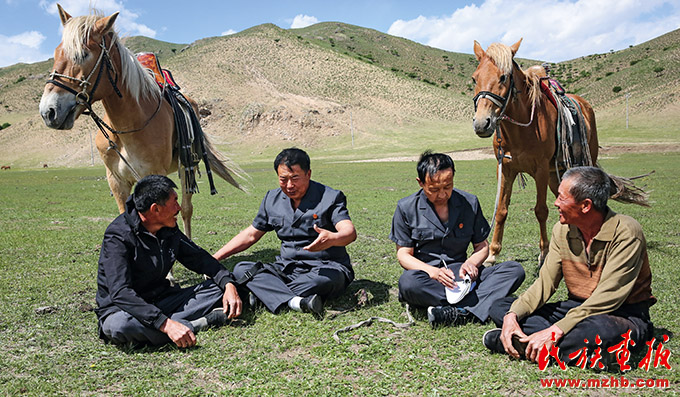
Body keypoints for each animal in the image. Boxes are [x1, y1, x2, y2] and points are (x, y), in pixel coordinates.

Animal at [39, 5, 242, 241]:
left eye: (83, 54)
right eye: (55, 53)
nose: (48, 111)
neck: (127, 128)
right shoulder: (116, 181)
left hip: (187, 167)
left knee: (186, 209)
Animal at [470, 38, 596, 264]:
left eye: (503, 76)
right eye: (474, 78)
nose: (482, 123)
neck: (521, 129)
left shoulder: (541, 170)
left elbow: (541, 210)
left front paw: (544, 252)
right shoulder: (506, 169)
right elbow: (501, 210)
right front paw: (492, 253)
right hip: (557, 175)